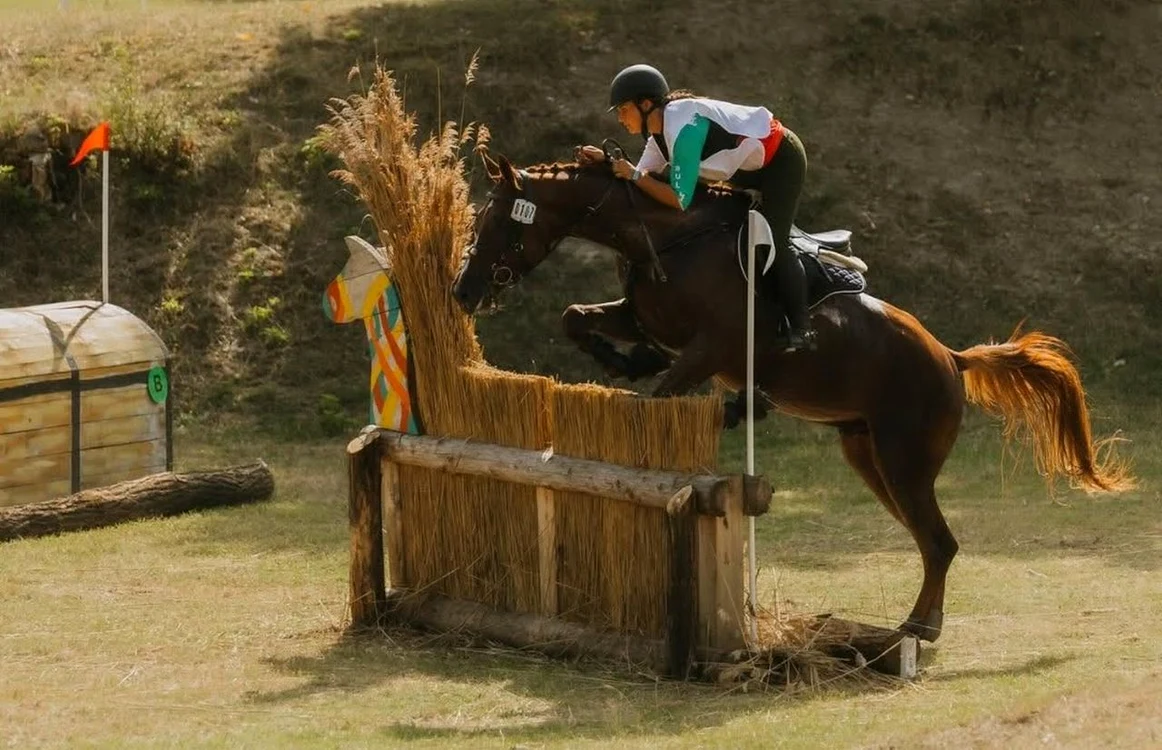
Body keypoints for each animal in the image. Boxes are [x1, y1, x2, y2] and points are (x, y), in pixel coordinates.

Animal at [451, 153, 1132, 642]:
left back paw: (918, 628)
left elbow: (660, 396)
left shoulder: (712, 348)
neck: (663, 239)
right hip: (867, 456)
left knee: (940, 542)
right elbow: (576, 317)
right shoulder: (646, 316)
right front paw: (628, 359)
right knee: (930, 541)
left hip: (904, 460)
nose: (463, 291)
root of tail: (950, 357)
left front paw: (668, 386)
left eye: (496, 222)